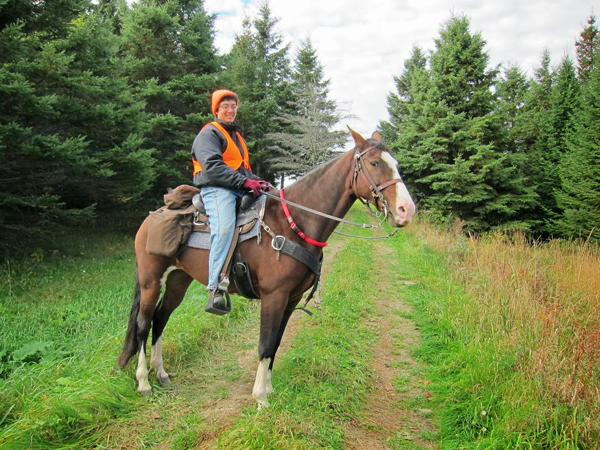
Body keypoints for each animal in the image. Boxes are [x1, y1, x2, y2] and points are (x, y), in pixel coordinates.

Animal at [118, 129, 418, 408]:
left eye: (395, 163)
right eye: (375, 163)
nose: (407, 210)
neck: (295, 222)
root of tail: (152, 218)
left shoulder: (291, 298)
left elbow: (276, 342)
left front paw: (270, 389)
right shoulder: (274, 296)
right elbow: (265, 343)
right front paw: (260, 398)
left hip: (178, 281)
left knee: (160, 318)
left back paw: (161, 373)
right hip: (150, 281)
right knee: (144, 325)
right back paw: (143, 381)